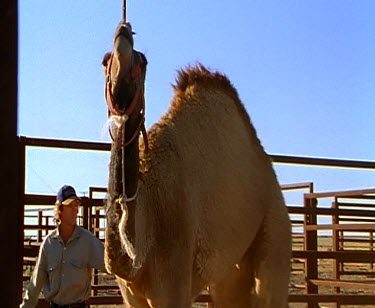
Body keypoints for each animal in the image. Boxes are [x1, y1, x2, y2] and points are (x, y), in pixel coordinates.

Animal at [101, 21, 292, 308]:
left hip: (276, 230)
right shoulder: (131, 294)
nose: (123, 32)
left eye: (142, 62)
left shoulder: (174, 278)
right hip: (231, 269)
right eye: (105, 60)